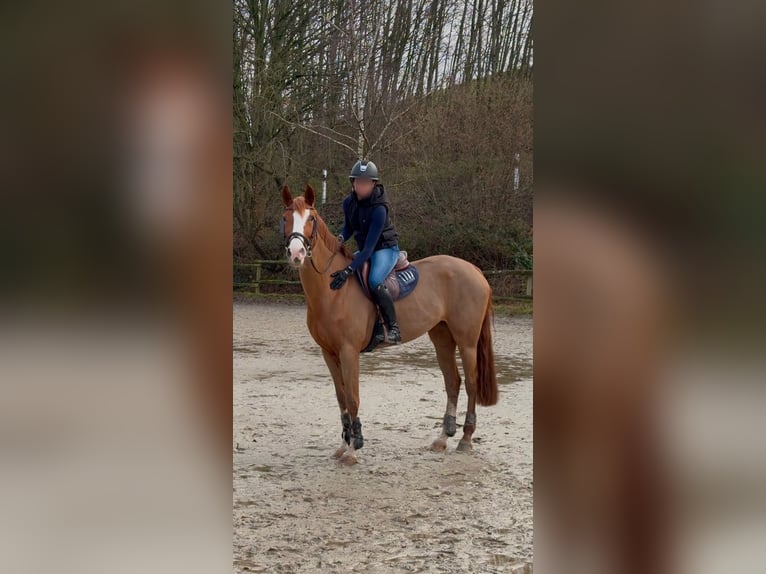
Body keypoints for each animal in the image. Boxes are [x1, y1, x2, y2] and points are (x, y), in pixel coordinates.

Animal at [281, 184, 498, 465]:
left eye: (311, 218)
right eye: (285, 218)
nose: (296, 253)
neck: (333, 290)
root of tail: (475, 270)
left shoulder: (349, 352)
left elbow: (352, 397)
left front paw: (353, 449)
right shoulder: (329, 353)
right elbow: (341, 398)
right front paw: (344, 443)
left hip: (467, 341)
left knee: (471, 383)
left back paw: (466, 439)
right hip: (442, 337)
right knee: (453, 382)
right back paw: (443, 438)